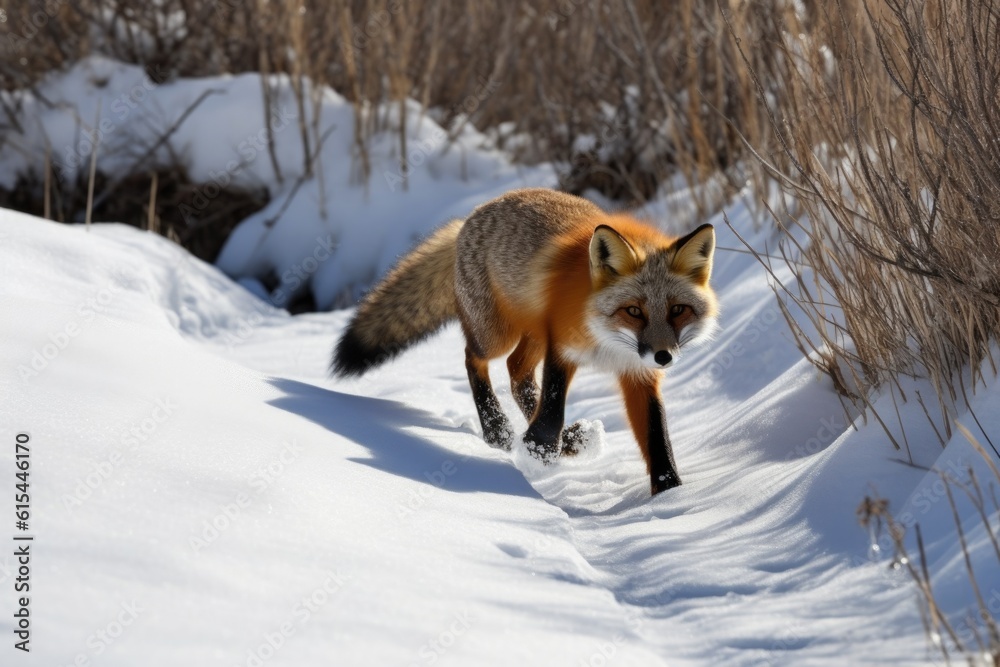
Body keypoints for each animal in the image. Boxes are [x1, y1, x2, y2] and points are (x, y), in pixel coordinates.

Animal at [332, 188, 718, 495]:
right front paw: (539, 448)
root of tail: (472, 215)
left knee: (517, 371)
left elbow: (657, 436)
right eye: (634, 311)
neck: (608, 342)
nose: (664, 356)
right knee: (474, 359)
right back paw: (497, 428)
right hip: (498, 336)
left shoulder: (638, 373)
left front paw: (670, 494)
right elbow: (552, 404)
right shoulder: (563, 346)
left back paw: (567, 441)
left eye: (678, 310)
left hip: (533, 334)